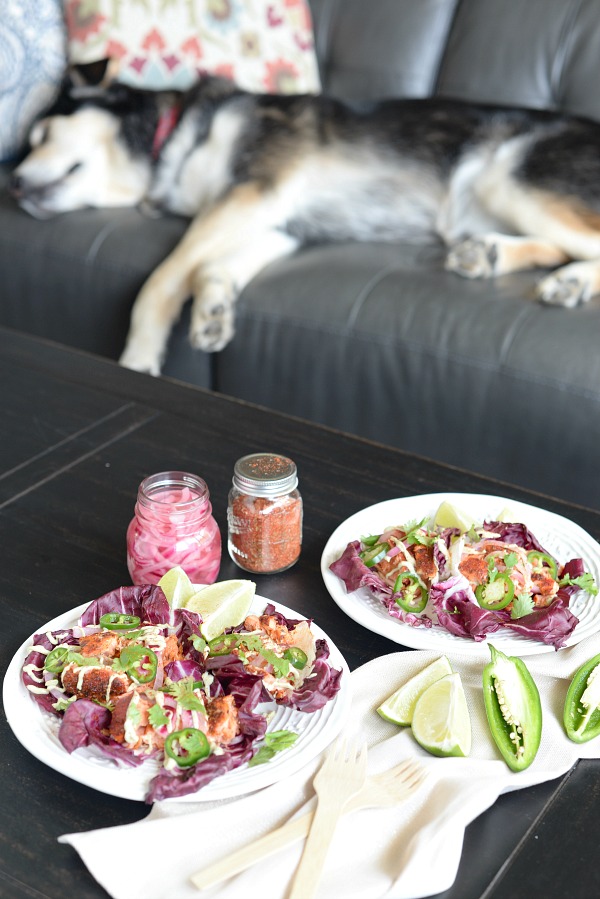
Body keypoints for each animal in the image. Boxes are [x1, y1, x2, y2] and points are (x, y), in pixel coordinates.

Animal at [10, 71, 600, 376]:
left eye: (41, 134)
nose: (11, 184)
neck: (172, 133)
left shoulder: (255, 188)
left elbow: (162, 277)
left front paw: (139, 356)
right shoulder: (278, 222)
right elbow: (209, 267)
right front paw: (215, 307)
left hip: (510, 175)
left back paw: (571, 281)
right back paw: (489, 254)